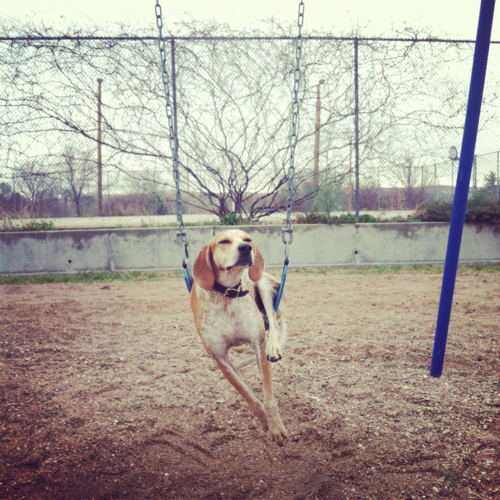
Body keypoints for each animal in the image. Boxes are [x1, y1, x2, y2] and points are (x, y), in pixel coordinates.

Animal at [190, 229, 288, 445]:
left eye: (247, 239)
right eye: (224, 241)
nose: (245, 248)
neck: (227, 293)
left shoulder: (258, 344)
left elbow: (268, 396)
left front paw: (276, 427)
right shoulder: (221, 360)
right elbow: (248, 395)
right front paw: (265, 422)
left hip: (263, 286)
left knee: (274, 322)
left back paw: (274, 347)